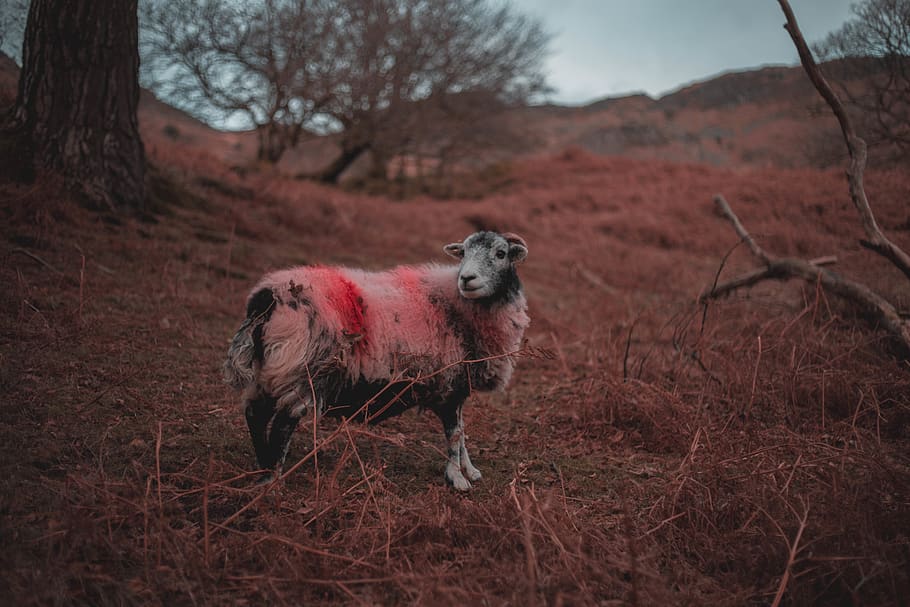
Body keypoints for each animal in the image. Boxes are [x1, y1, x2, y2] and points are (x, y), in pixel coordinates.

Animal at [223, 231, 530, 490]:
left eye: (500, 253)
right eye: (463, 252)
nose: (466, 278)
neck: (458, 305)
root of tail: (267, 296)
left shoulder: (457, 386)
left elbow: (462, 433)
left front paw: (470, 470)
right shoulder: (449, 384)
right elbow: (455, 435)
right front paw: (457, 478)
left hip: (270, 368)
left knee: (255, 413)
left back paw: (262, 467)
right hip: (302, 369)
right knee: (282, 422)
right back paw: (273, 477)